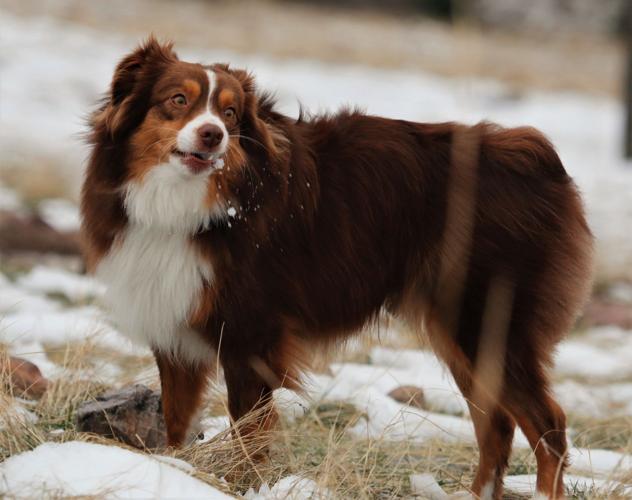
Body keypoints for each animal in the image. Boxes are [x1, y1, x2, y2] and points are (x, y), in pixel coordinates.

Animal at [80, 37, 592, 498]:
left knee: (548, 424)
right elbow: (177, 420)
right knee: (497, 425)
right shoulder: (175, 330)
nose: (213, 135)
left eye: (230, 114)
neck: (194, 205)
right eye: (177, 100)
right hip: (462, 334)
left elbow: (249, 429)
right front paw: (175, 471)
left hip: (487, 320)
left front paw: (240, 485)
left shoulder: (250, 336)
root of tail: (534, 154)